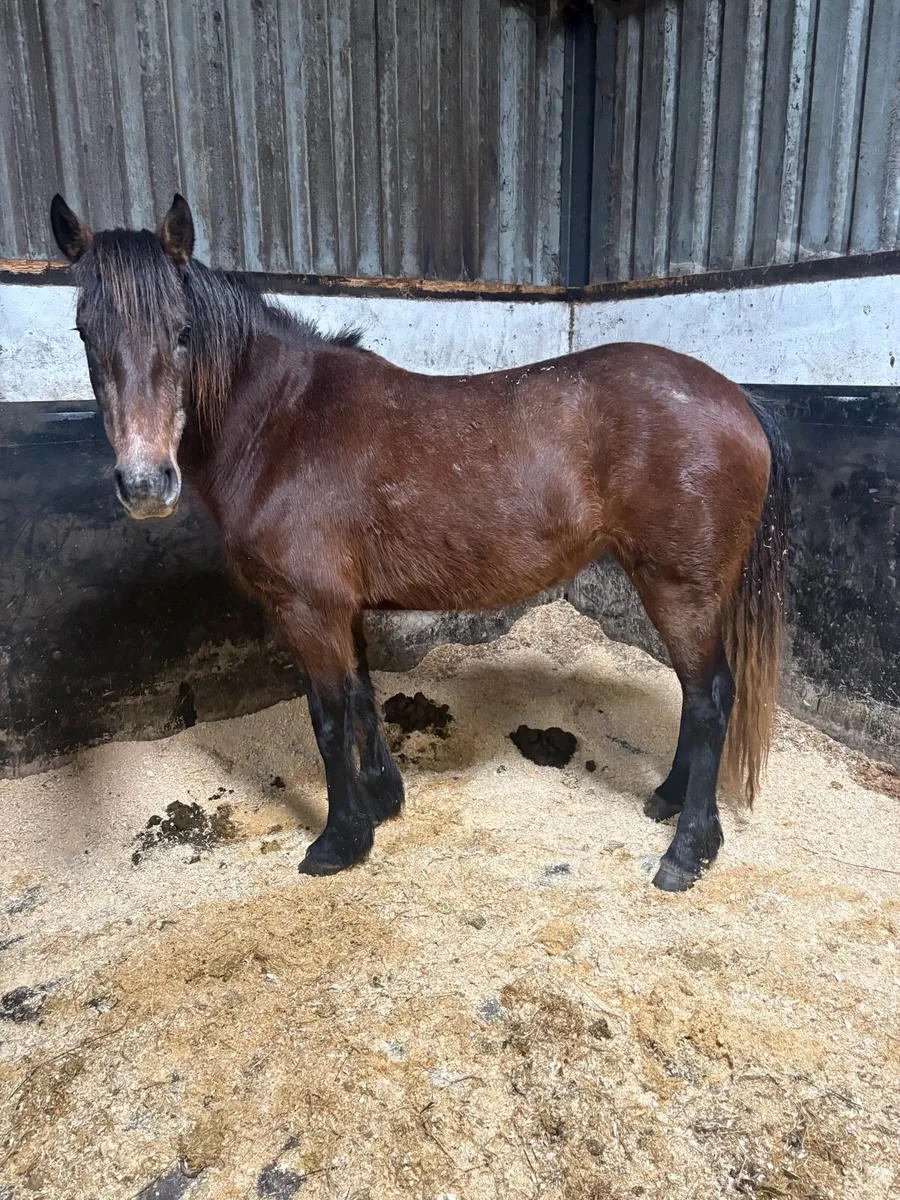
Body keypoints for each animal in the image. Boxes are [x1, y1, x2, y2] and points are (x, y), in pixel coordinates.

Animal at [50, 193, 790, 892]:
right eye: (84, 331)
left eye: (181, 332)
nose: (146, 483)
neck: (282, 424)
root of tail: (738, 401)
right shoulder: (341, 609)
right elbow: (360, 699)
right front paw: (382, 801)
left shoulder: (307, 611)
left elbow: (326, 719)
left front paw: (340, 840)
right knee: (699, 696)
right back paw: (668, 799)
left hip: (679, 588)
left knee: (709, 697)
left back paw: (688, 849)